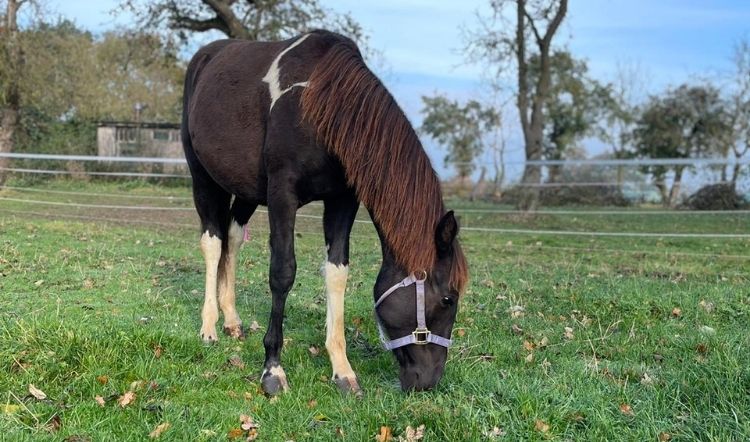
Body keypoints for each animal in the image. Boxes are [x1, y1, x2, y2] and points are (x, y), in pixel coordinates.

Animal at [181, 29, 468, 394]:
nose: (428, 380)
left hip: (246, 188)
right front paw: (272, 369)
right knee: (213, 241)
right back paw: (209, 327)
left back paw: (232, 320)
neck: (320, 105)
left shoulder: (343, 200)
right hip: (203, 177)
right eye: (448, 299)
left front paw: (342, 370)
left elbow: (336, 273)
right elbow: (282, 272)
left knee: (232, 236)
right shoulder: (282, 194)